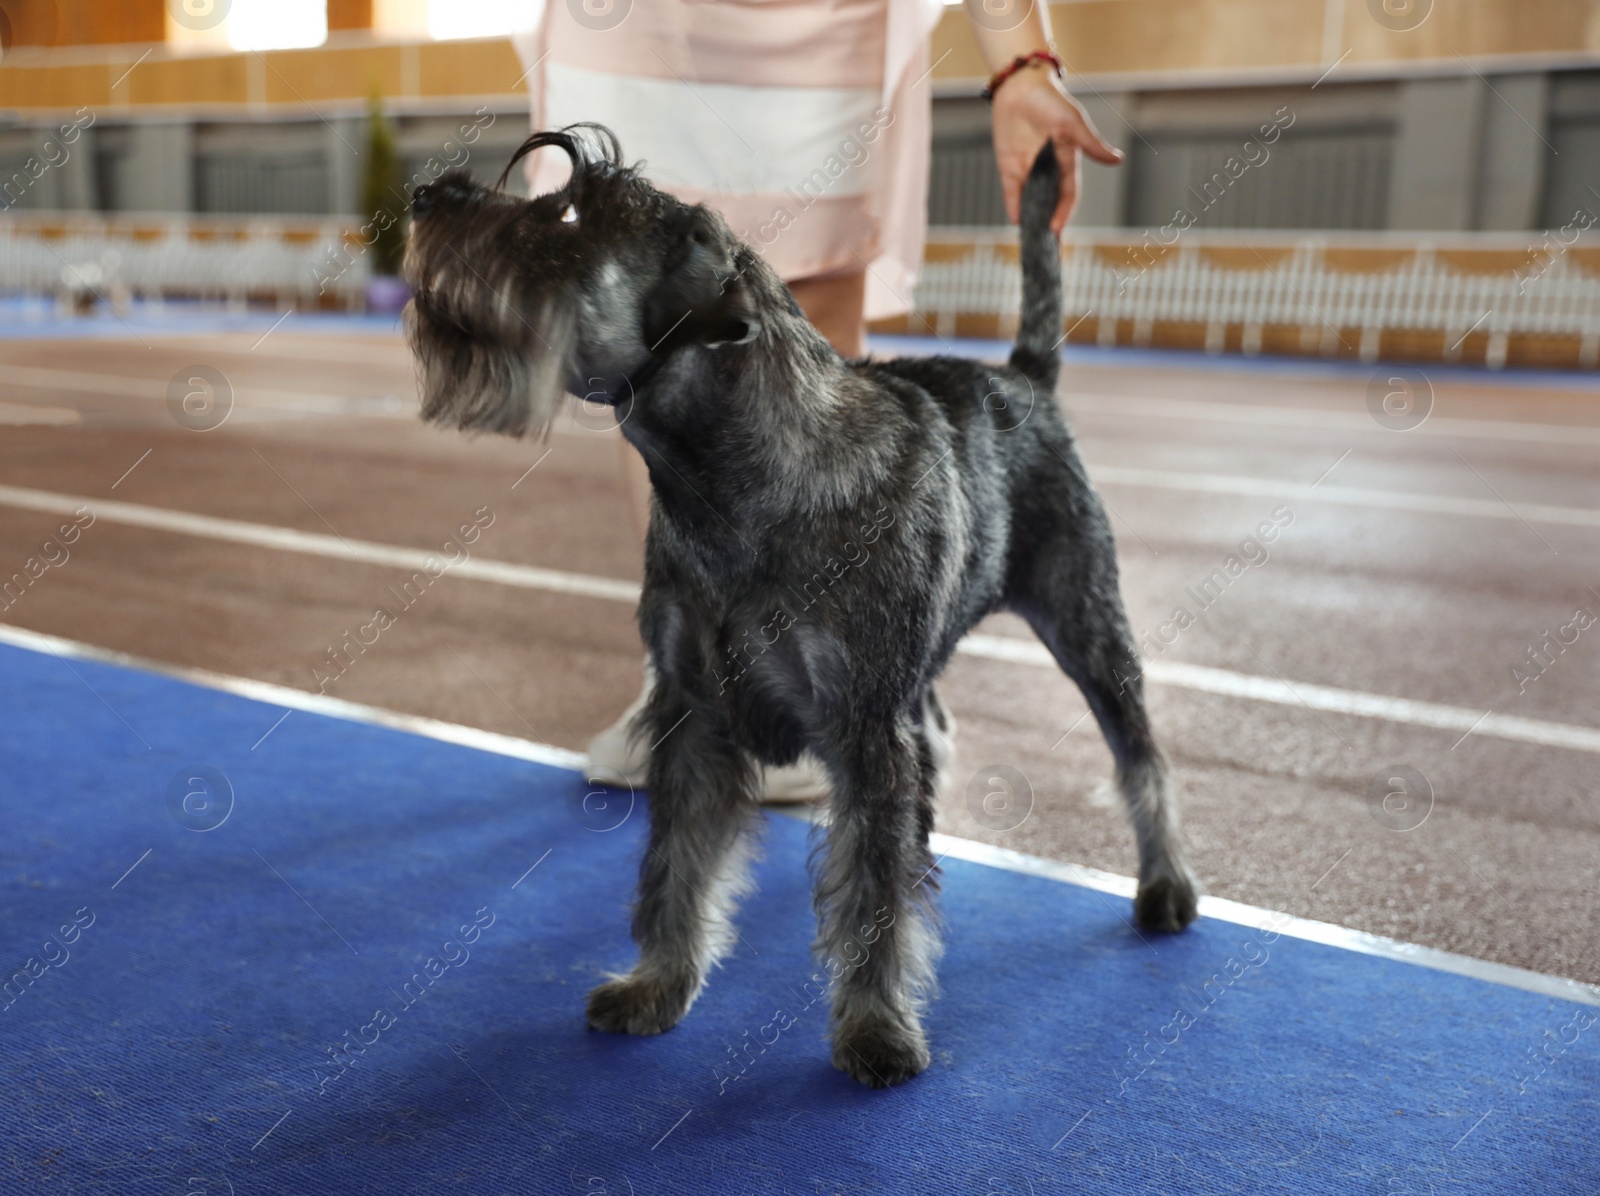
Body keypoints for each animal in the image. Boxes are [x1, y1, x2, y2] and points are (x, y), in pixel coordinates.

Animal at [406, 126, 1196, 1087]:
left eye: (565, 216)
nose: (424, 197)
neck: (735, 488)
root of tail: (1026, 382)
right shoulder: (694, 715)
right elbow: (677, 867)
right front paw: (658, 983)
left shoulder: (862, 728)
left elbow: (872, 893)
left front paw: (876, 1028)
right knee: (939, 737)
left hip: (1087, 623)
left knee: (1140, 754)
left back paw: (1166, 887)